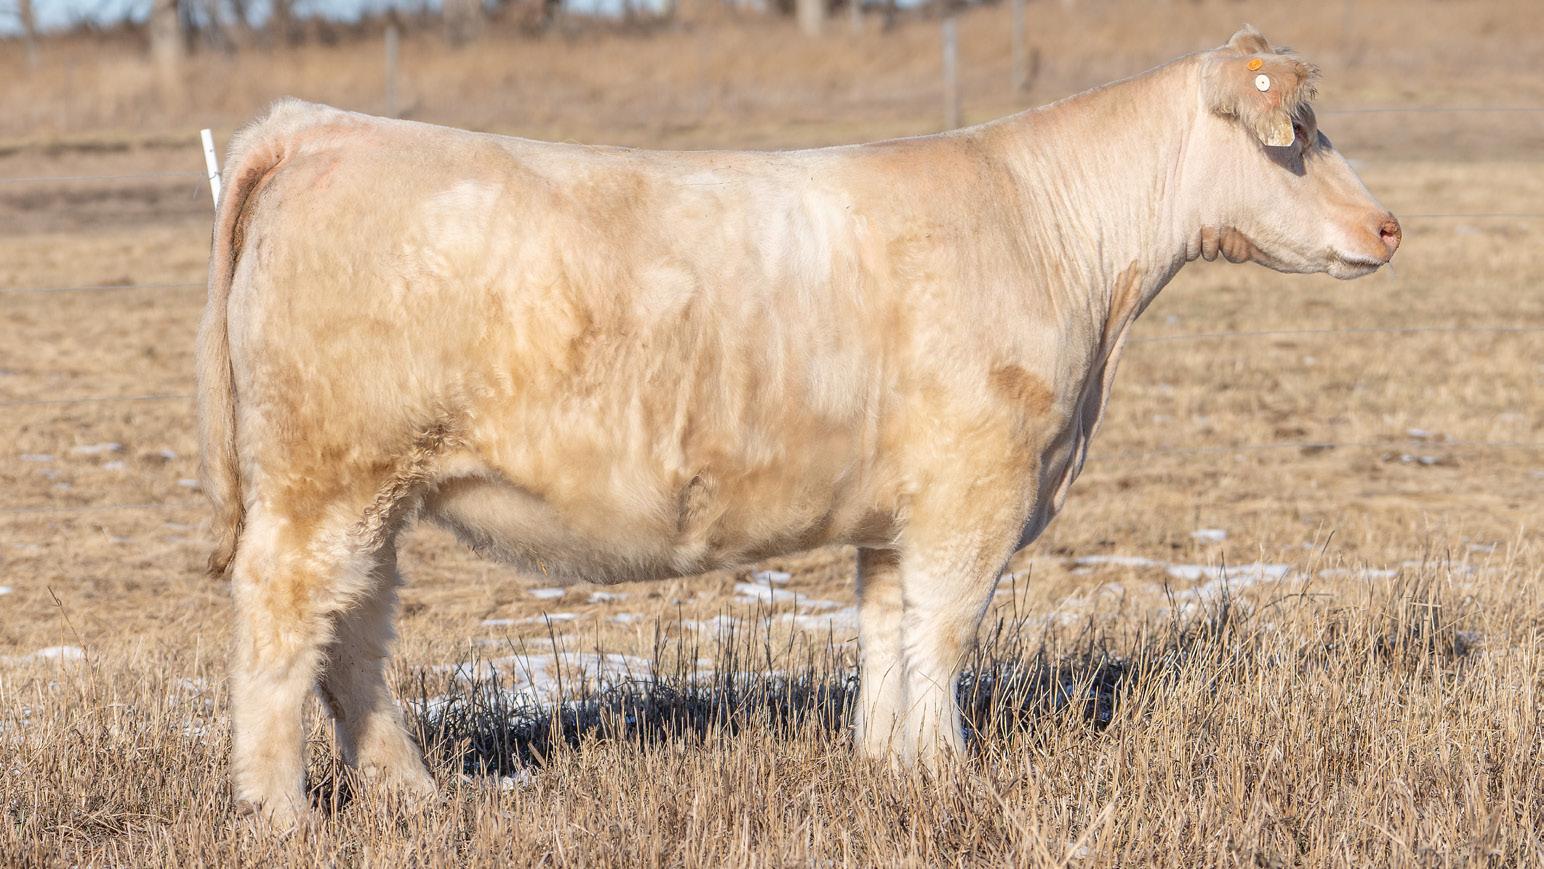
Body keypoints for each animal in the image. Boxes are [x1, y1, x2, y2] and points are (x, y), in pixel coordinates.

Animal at [198, 26, 1400, 823]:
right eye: (1295, 133)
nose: (1388, 225)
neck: (1049, 237)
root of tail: (318, 128)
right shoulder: (976, 489)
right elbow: (944, 631)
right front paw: (950, 773)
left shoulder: (898, 510)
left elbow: (887, 629)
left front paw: (887, 764)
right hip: (327, 479)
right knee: (285, 622)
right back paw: (280, 814)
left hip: (371, 492)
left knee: (355, 631)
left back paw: (412, 792)